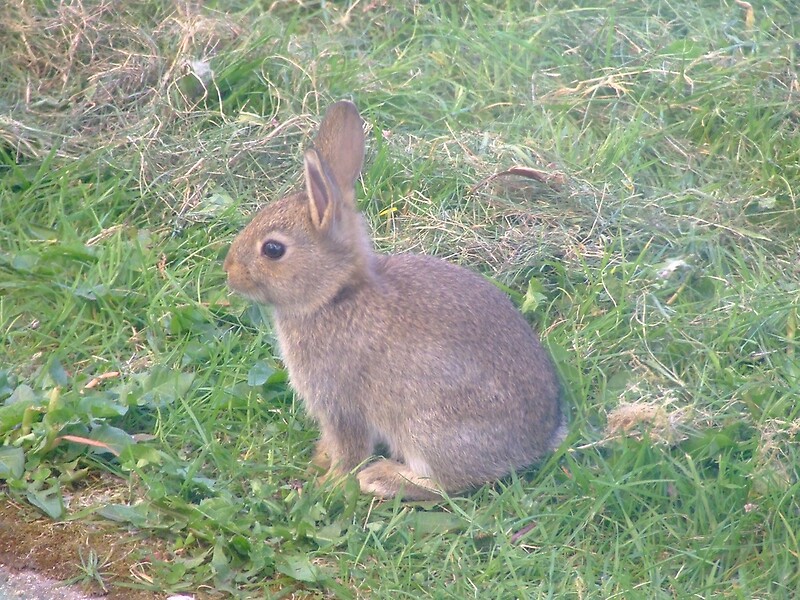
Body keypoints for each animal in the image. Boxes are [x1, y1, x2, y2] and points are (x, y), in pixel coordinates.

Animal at [224, 100, 566, 500]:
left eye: (273, 250)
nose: (229, 272)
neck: (336, 295)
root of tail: (535, 443)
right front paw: (318, 462)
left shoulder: (343, 404)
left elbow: (350, 449)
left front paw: (328, 485)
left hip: (428, 428)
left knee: (447, 484)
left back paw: (381, 478)